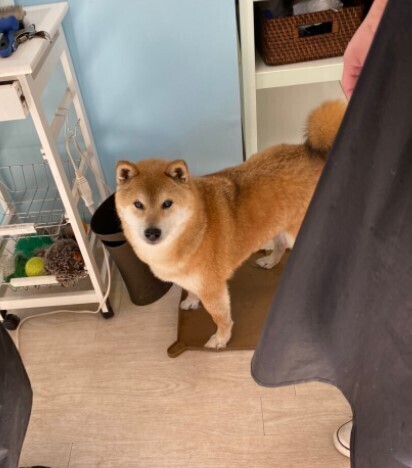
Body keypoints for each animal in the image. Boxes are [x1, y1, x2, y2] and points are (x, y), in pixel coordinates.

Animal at [115, 100, 346, 349]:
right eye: (138, 204)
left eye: (167, 203)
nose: (152, 232)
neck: (196, 229)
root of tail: (313, 152)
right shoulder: (191, 280)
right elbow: (189, 290)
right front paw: (191, 301)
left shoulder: (213, 289)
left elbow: (221, 317)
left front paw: (221, 338)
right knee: (281, 245)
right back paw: (270, 261)